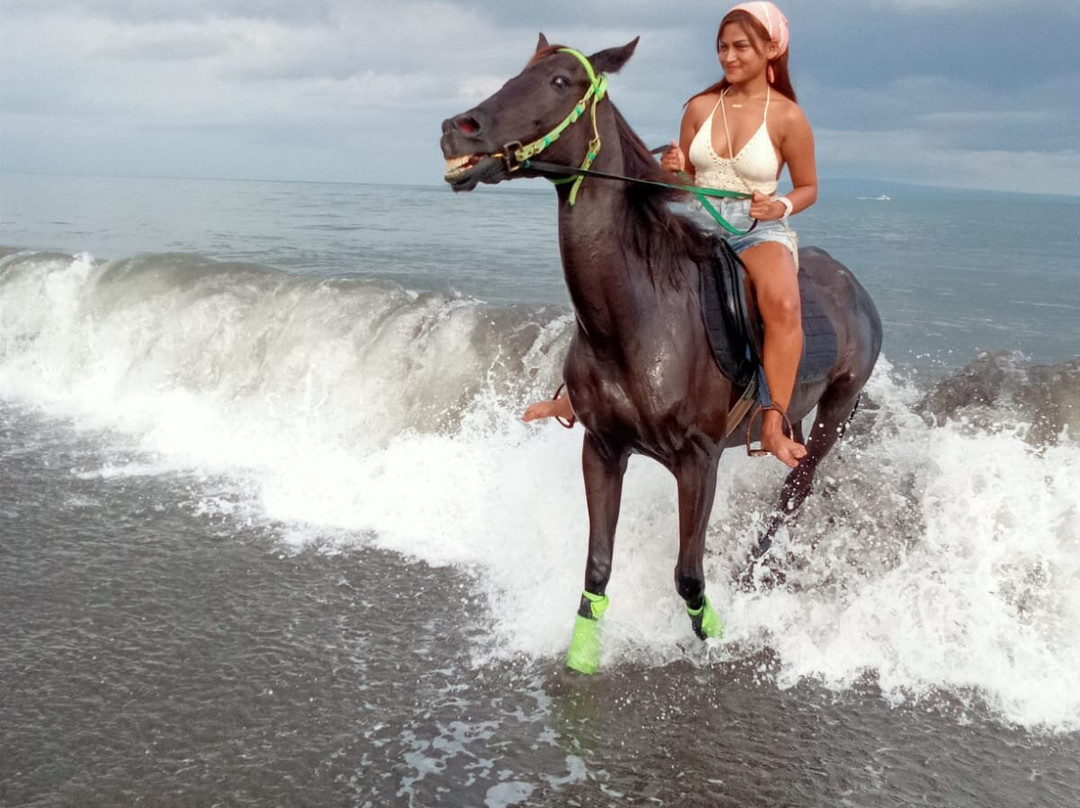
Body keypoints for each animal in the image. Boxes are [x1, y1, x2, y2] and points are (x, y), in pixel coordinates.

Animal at [440, 36, 882, 674]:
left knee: (794, 495)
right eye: (517, 73)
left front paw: (714, 634)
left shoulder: (699, 462)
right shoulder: (602, 449)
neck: (638, 318)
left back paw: (757, 570)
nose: (458, 130)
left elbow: (689, 574)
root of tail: (858, 291)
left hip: (837, 412)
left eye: (561, 81)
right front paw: (583, 653)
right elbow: (598, 564)